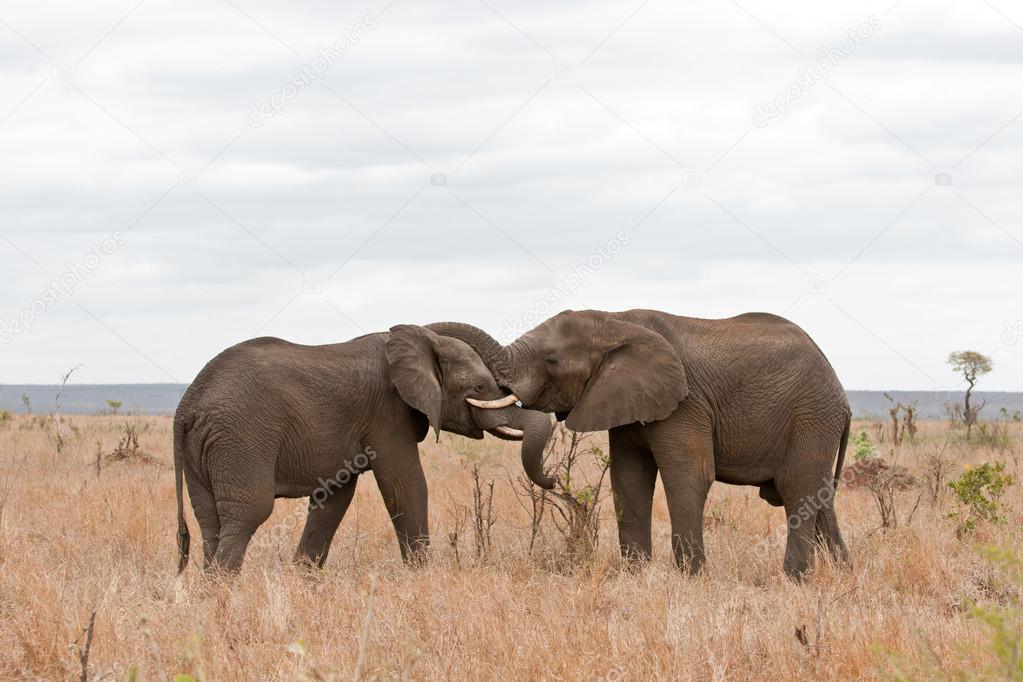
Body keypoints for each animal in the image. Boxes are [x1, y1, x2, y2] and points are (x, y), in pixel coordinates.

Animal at [178, 323, 560, 572]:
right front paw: (423, 576)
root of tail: (187, 405)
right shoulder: (387, 415)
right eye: (480, 388)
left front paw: (303, 578)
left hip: (203, 450)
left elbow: (334, 498)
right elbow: (405, 486)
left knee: (210, 521)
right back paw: (225, 591)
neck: (421, 342)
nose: (555, 480)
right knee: (248, 513)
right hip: (241, 437)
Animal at [435, 312, 851, 580]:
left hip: (812, 416)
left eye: (551, 360)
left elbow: (688, 475)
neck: (616, 321)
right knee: (819, 497)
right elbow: (629, 479)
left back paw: (794, 579)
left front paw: (691, 579)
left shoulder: (685, 403)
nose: (553, 481)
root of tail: (843, 396)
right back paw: (842, 572)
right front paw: (636, 574)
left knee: (798, 491)